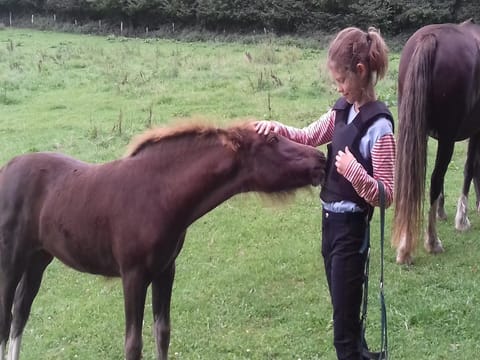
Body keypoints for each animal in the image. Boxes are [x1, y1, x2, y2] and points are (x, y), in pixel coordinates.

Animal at [0, 121, 326, 360]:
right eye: (272, 141)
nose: (321, 159)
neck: (158, 195)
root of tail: (7, 168)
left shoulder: (165, 270)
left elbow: (163, 332)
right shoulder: (132, 275)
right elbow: (133, 343)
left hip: (38, 258)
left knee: (20, 314)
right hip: (11, 261)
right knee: (6, 318)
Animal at [392, 20, 480, 264]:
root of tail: (429, 39)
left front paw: (443, 212)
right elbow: (471, 168)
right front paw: (462, 219)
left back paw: (404, 245)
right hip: (448, 137)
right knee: (434, 178)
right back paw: (431, 242)